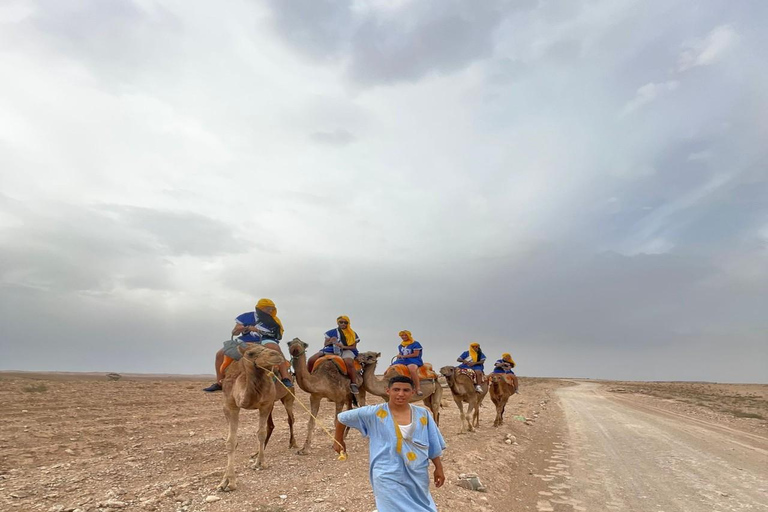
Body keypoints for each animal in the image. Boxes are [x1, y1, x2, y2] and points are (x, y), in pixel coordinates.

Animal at [218, 344, 286, 492]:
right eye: (250, 353)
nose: (276, 355)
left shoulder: (266, 404)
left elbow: (261, 433)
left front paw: (260, 463)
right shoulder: (229, 405)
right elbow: (231, 441)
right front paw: (227, 481)